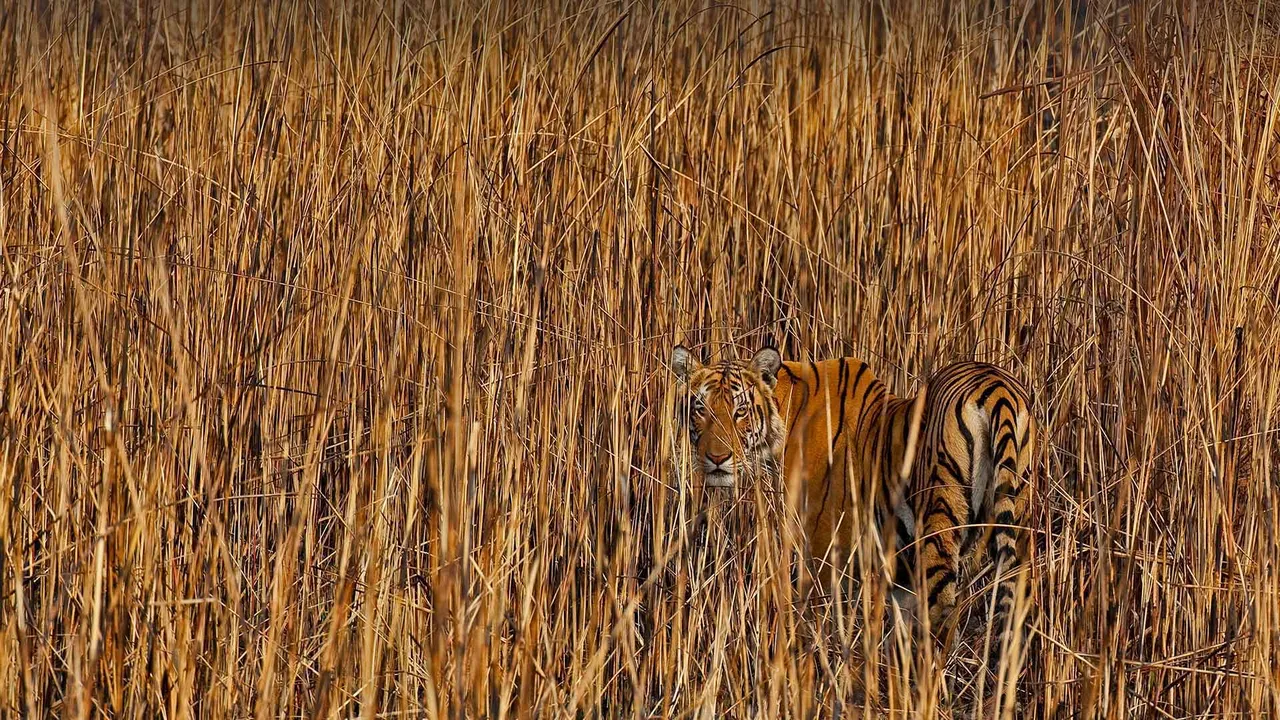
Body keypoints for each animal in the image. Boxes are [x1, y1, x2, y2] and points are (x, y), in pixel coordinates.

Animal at [670, 344, 1036, 647]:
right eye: (701, 409)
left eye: (740, 411)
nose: (717, 458)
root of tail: (996, 387)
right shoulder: (899, 570)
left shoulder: (826, 550)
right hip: (1017, 528)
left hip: (939, 525)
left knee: (942, 618)